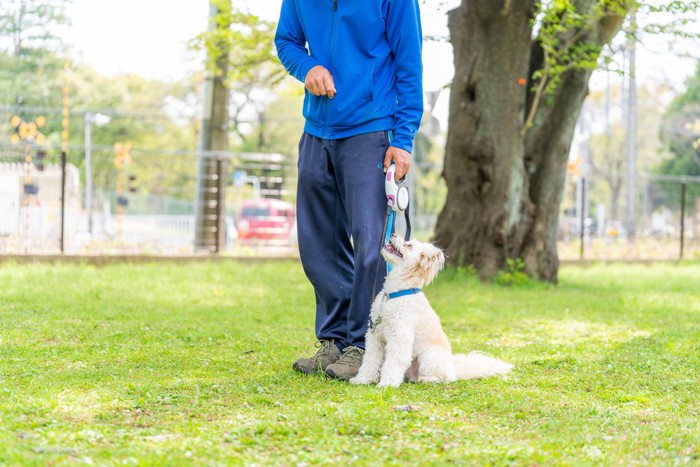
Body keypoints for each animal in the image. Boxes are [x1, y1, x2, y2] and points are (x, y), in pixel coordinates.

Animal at [350, 236, 516, 390]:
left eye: (408, 245)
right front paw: (362, 379)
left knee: (445, 378)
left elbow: (393, 362)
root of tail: (453, 368)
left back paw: (427, 379)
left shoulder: (399, 337)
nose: (393, 234)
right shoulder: (375, 336)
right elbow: (370, 360)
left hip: (429, 355)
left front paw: (387, 384)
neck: (395, 294)